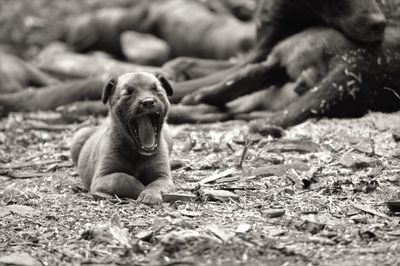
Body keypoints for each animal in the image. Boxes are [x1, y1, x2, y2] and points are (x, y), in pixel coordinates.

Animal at [71, 71, 174, 205]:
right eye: (128, 93)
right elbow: (122, 179)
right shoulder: (101, 177)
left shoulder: (163, 177)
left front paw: (149, 194)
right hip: (79, 136)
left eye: (156, 89)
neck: (136, 153)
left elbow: (155, 184)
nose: (148, 102)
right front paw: (140, 188)